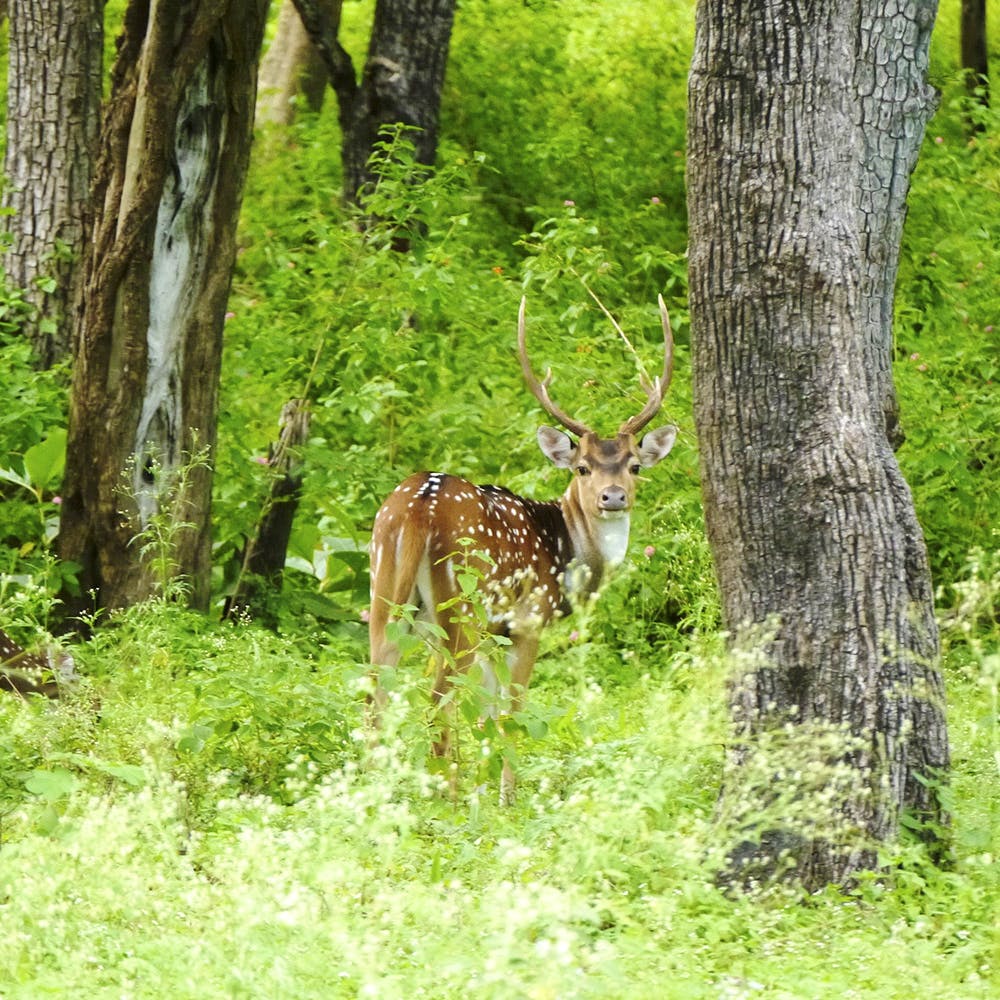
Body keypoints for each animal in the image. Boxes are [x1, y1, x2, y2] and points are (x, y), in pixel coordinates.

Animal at [368, 292, 680, 800]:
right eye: (582, 468)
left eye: (634, 465)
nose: (613, 497)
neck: (568, 554)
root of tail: (420, 508)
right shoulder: (527, 620)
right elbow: (512, 710)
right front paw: (506, 796)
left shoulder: (497, 632)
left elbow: (489, 712)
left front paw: (488, 789)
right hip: (460, 604)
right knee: (437, 698)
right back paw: (444, 797)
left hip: (385, 590)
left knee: (377, 688)